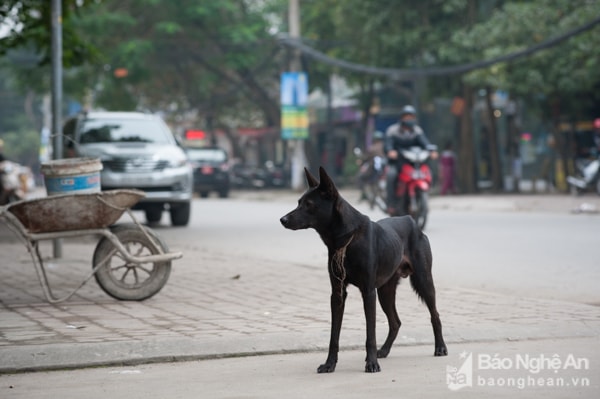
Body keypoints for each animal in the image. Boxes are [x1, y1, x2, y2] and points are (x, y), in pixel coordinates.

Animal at [280, 167, 446, 374]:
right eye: (299, 203)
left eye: (309, 204)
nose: (282, 220)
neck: (345, 241)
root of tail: (410, 220)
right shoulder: (338, 294)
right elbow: (334, 336)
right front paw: (330, 364)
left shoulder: (368, 292)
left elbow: (370, 334)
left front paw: (371, 363)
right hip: (385, 291)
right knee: (395, 322)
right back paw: (384, 350)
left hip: (423, 282)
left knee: (435, 315)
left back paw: (440, 347)